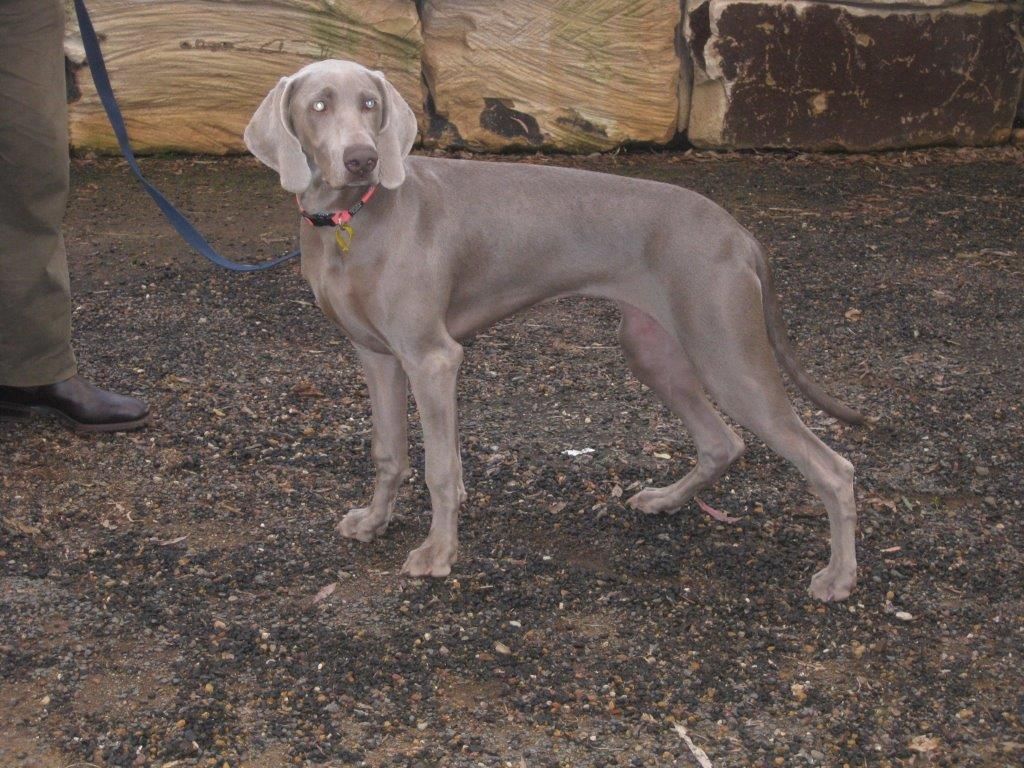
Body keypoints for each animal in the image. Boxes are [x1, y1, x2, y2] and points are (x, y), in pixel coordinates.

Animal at [245, 60, 864, 601]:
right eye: (319, 105)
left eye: (370, 103)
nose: (362, 160)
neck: (350, 220)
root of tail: (738, 232)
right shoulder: (375, 356)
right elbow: (388, 451)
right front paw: (374, 521)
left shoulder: (431, 357)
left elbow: (439, 467)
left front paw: (439, 553)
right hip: (652, 347)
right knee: (722, 442)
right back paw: (665, 500)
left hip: (727, 353)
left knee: (833, 468)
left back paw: (838, 578)